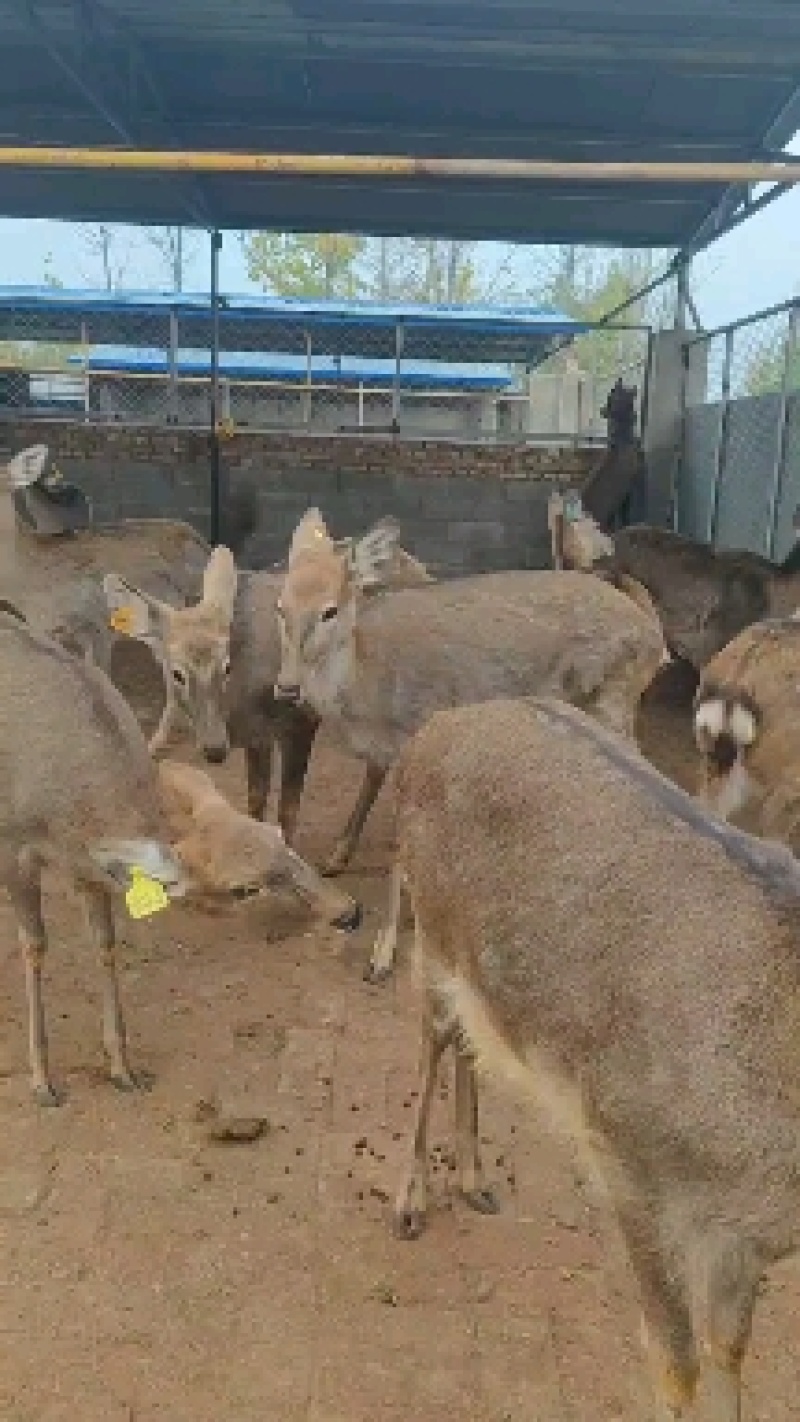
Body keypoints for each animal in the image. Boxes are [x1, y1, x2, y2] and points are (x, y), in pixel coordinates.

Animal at [0, 603, 361, 1107]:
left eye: (279, 836)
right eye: (242, 889)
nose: (349, 912)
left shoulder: (86, 867)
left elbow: (104, 942)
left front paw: (122, 1068)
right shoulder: (14, 849)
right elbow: (34, 946)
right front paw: (42, 1080)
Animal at [274, 508, 669, 977]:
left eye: (330, 610)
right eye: (280, 605)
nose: (286, 686)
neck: (367, 684)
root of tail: (654, 639)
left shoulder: (417, 732)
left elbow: (400, 847)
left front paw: (382, 954)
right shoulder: (387, 752)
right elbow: (371, 787)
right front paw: (336, 860)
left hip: (614, 699)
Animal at [391, 693, 800, 1421]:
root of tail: (430, 732)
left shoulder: (742, 1238)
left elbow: (728, 1350)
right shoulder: (630, 1162)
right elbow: (676, 1365)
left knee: (469, 1038)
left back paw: (474, 1178)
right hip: (429, 930)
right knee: (433, 1038)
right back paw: (410, 1201)